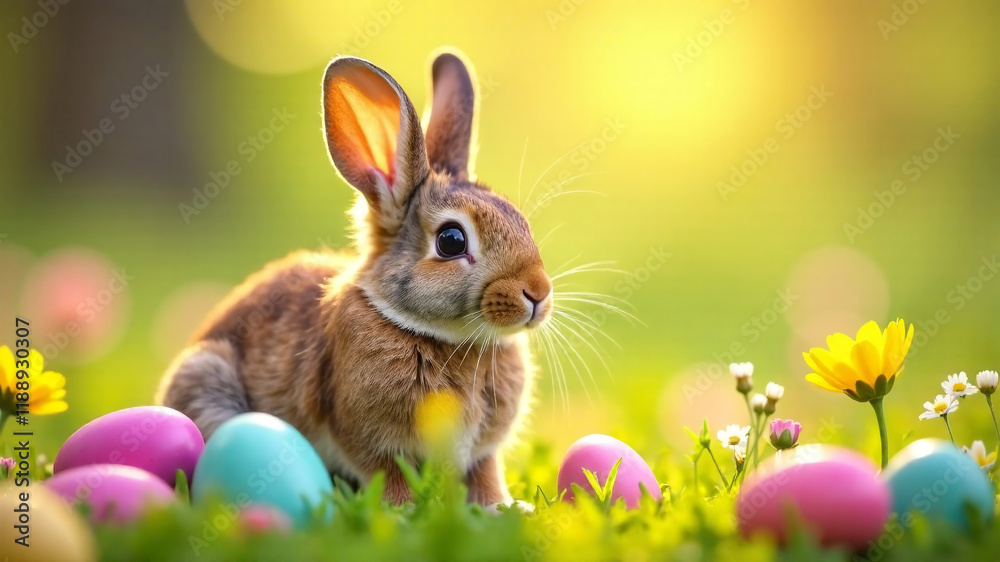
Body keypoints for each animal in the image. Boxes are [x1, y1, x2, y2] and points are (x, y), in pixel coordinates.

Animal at [156, 48, 553, 508]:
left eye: (522, 222)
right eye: (451, 241)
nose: (538, 293)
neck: (447, 339)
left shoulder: (482, 451)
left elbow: (484, 473)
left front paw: (502, 507)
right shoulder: (370, 438)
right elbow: (388, 473)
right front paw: (402, 511)